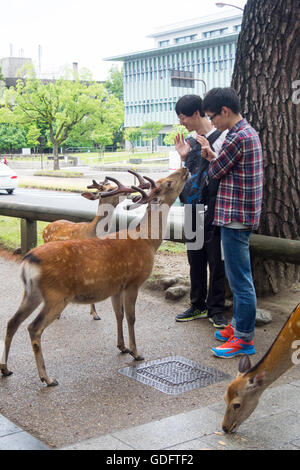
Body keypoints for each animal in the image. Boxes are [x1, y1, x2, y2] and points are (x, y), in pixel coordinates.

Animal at [0, 168, 189, 386]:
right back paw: (47, 378)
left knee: (12, 322)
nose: (185, 169)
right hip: (56, 295)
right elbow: (131, 317)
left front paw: (122, 346)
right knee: (33, 327)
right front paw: (136, 352)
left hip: (32, 293)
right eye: (168, 183)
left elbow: (119, 315)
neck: (148, 242)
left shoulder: (117, 286)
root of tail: (28, 261)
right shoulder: (133, 282)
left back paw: (5, 368)